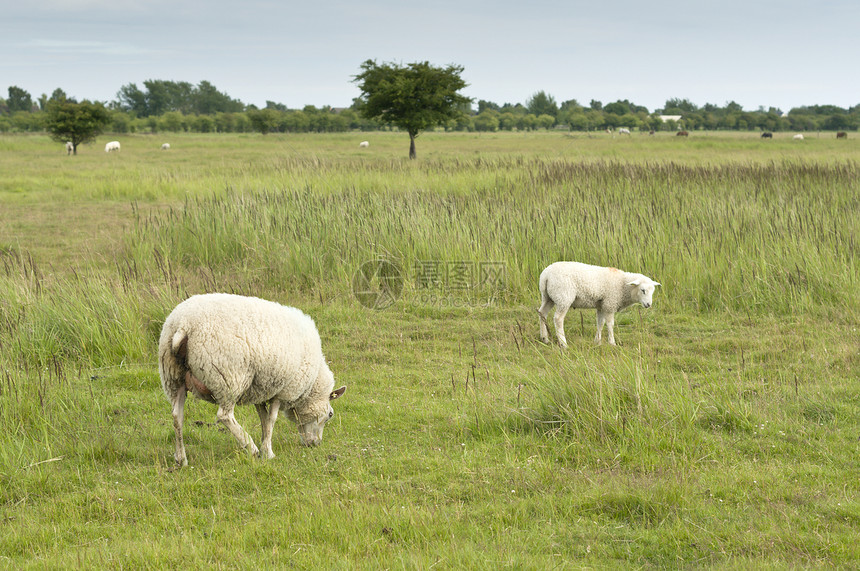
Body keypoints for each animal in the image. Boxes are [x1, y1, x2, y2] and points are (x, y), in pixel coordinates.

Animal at [158, 292, 346, 466]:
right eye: (330, 415)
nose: (315, 444)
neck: (311, 385)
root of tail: (183, 325)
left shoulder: (261, 389)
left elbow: (263, 419)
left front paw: (265, 447)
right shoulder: (282, 390)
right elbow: (271, 420)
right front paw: (267, 452)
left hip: (173, 377)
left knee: (177, 417)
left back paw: (181, 459)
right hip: (228, 377)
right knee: (225, 415)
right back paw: (251, 447)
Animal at [536, 262, 664, 348]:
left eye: (652, 291)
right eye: (643, 290)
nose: (648, 304)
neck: (623, 286)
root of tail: (545, 276)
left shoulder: (602, 306)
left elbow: (600, 323)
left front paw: (597, 341)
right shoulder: (610, 304)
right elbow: (610, 324)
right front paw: (612, 342)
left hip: (548, 297)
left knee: (542, 313)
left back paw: (544, 338)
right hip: (564, 297)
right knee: (558, 319)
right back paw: (564, 343)